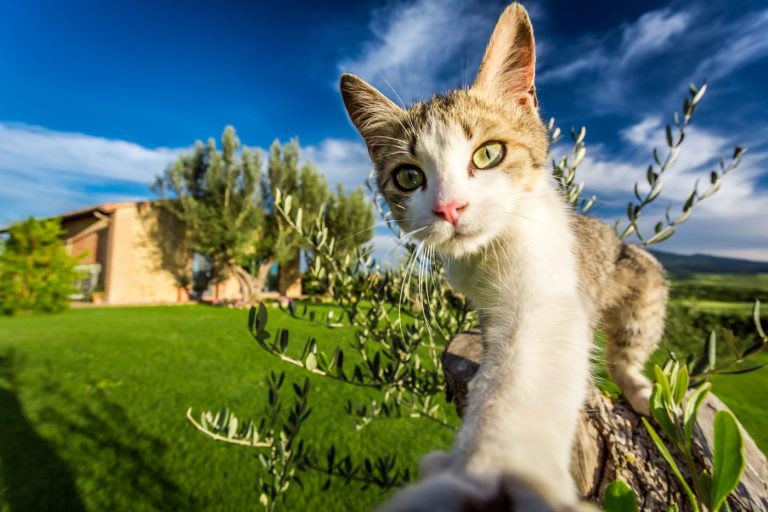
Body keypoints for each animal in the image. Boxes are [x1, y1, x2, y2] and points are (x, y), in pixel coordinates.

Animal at [340, 3, 664, 508]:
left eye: (489, 153)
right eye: (409, 177)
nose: (450, 208)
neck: (487, 252)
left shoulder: (550, 286)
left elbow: (531, 361)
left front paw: (490, 466)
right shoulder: (485, 303)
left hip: (636, 272)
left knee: (630, 341)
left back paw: (639, 388)